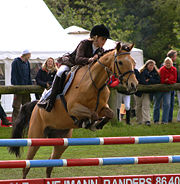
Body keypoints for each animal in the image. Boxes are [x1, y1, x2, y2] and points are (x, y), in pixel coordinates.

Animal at [8, 42, 138, 178]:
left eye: (133, 62)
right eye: (120, 62)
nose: (133, 85)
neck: (95, 83)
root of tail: (36, 106)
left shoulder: (102, 108)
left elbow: (110, 114)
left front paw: (96, 124)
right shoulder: (73, 109)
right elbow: (93, 114)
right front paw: (88, 123)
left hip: (61, 141)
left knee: (50, 164)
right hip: (36, 138)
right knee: (27, 165)